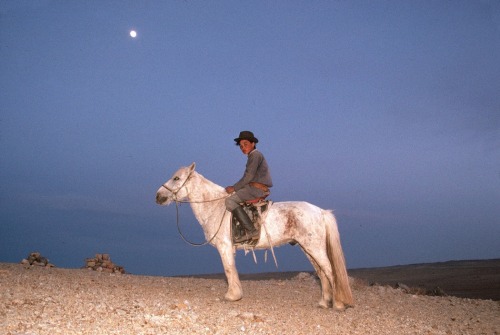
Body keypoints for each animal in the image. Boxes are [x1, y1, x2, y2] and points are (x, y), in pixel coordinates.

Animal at [154, 164, 354, 312]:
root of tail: (320, 211)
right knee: (321, 272)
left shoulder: (224, 247)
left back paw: (338, 304)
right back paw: (323, 303)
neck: (216, 207)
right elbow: (231, 270)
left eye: (176, 178)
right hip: (307, 248)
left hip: (314, 247)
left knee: (329, 271)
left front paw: (232, 296)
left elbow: (228, 270)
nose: (158, 196)